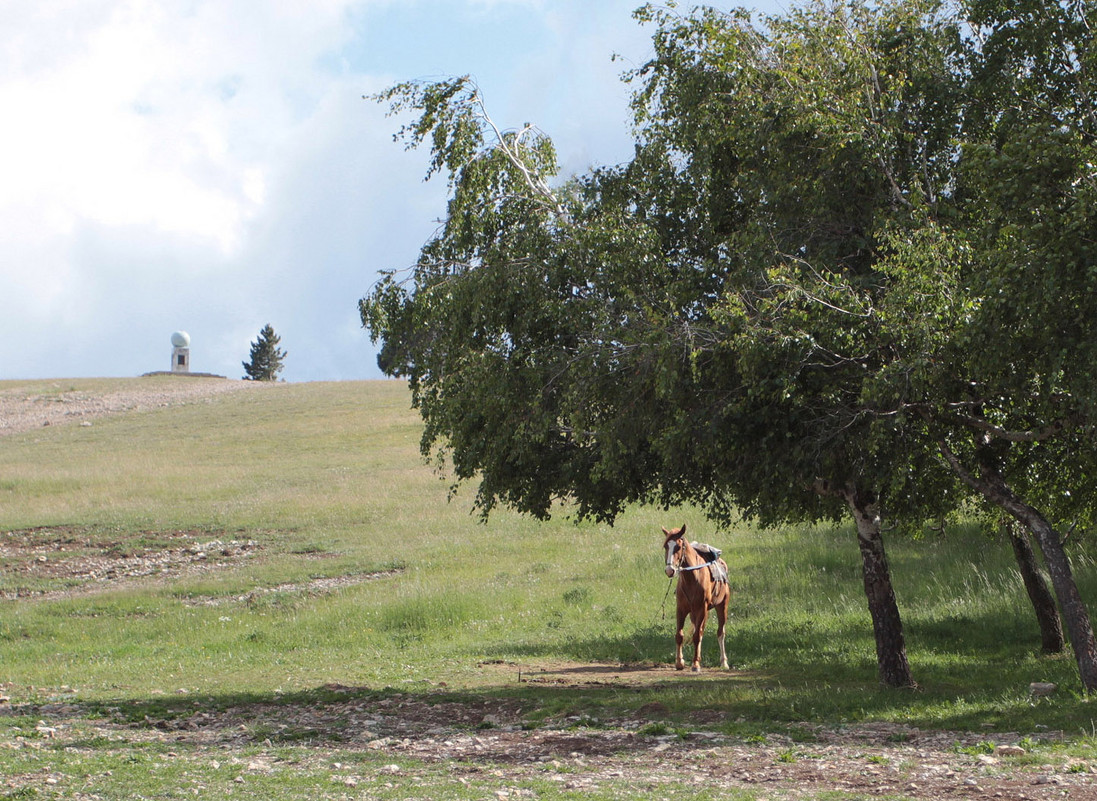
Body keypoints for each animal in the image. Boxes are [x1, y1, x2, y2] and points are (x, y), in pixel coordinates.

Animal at [662, 520, 732, 671]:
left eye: (678, 547)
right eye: (665, 546)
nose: (670, 570)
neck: (692, 578)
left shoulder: (701, 609)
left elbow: (696, 636)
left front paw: (695, 664)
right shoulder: (681, 609)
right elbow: (679, 635)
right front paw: (679, 662)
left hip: (721, 606)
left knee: (720, 632)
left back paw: (723, 662)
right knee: (701, 632)